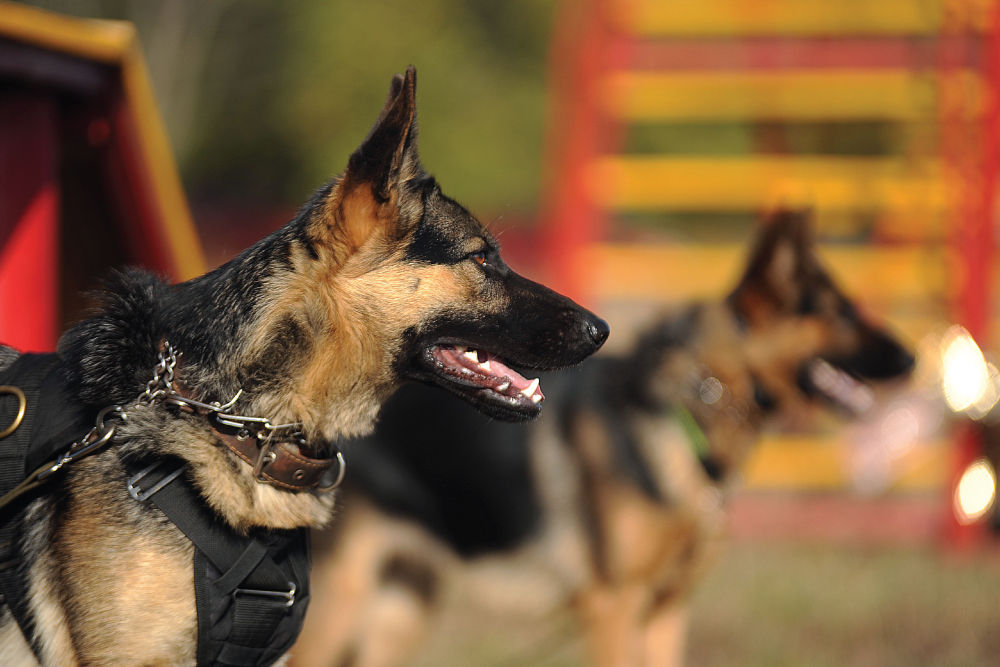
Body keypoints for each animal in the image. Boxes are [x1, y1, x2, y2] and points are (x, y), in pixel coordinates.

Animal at [292, 210, 916, 667]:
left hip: (399, 607)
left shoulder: (665, 613)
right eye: (842, 313)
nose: (913, 358)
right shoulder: (612, 608)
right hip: (338, 604)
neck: (690, 406)